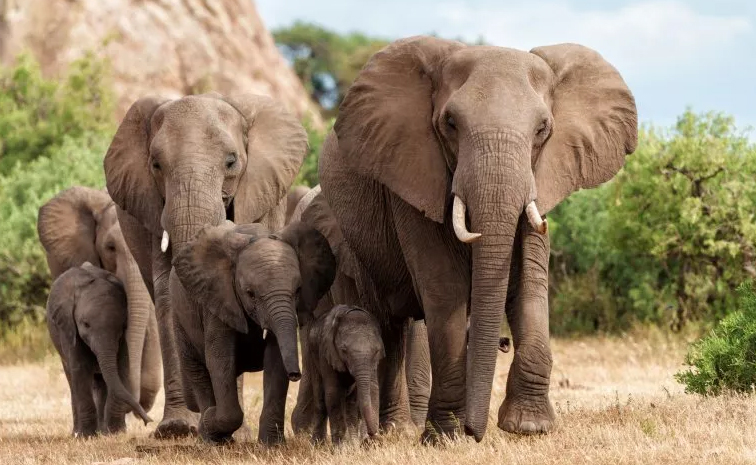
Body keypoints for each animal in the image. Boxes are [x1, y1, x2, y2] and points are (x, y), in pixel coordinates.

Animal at [46, 263, 153, 437]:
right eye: (85, 324)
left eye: (122, 326)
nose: (148, 421)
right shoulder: (68, 328)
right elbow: (80, 370)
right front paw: (86, 436)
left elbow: (121, 368)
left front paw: (115, 433)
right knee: (72, 381)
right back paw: (77, 433)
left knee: (101, 382)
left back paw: (103, 432)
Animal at [171, 220, 336, 444]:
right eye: (250, 293)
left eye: (298, 290)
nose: (295, 374)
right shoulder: (217, 299)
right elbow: (219, 359)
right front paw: (211, 421)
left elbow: (275, 359)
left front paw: (272, 445)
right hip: (180, 316)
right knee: (198, 370)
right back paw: (210, 434)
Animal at [307, 304, 384, 445]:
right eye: (344, 350)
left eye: (376, 351)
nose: (373, 435)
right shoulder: (326, 352)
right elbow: (333, 394)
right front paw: (340, 448)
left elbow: (373, 388)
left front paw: (359, 445)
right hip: (312, 354)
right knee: (321, 400)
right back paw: (317, 445)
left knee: (350, 402)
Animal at [318, 36, 637, 441]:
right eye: (450, 124)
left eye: (542, 129)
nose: (477, 431)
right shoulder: (412, 173)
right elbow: (445, 287)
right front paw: (446, 437)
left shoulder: (541, 178)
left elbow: (529, 282)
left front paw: (528, 427)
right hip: (355, 240)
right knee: (388, 323)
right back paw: (392, 432)